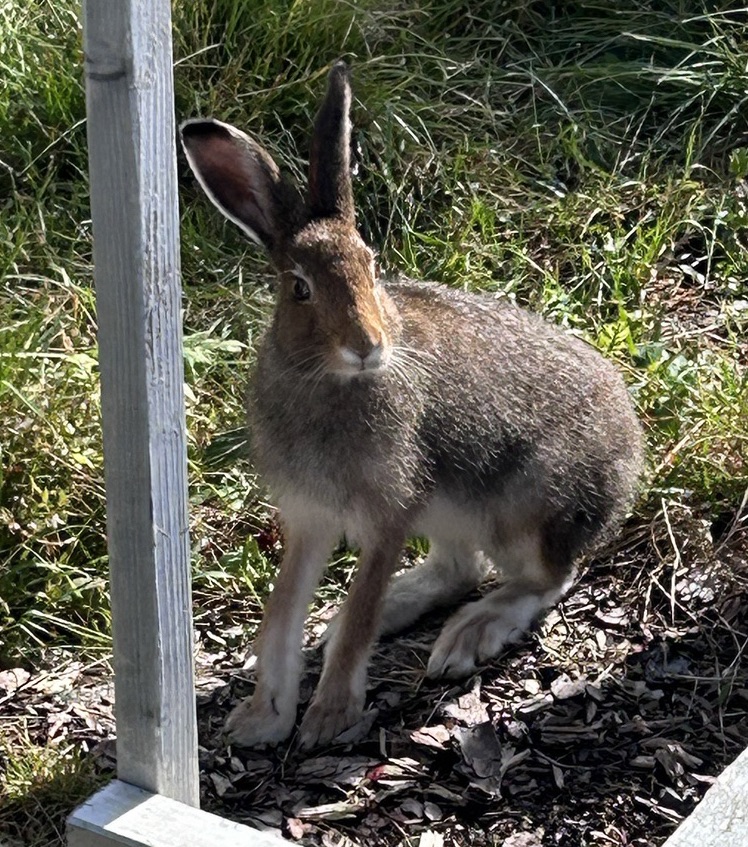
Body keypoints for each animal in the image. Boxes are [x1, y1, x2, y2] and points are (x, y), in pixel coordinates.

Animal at [180, 61, 644, 751]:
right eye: (300, 288)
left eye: (371, 268)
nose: (367, 345)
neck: (333, 381)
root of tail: (630, 461)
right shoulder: (311, 516)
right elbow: (281, 613)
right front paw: (263, 718)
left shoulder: (387, 514)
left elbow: (358, 611)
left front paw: (328, 718)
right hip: (449, 510)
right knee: (458, 567)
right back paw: (370, 614)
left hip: (524, 509)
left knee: (546, 578)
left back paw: (469, 633)